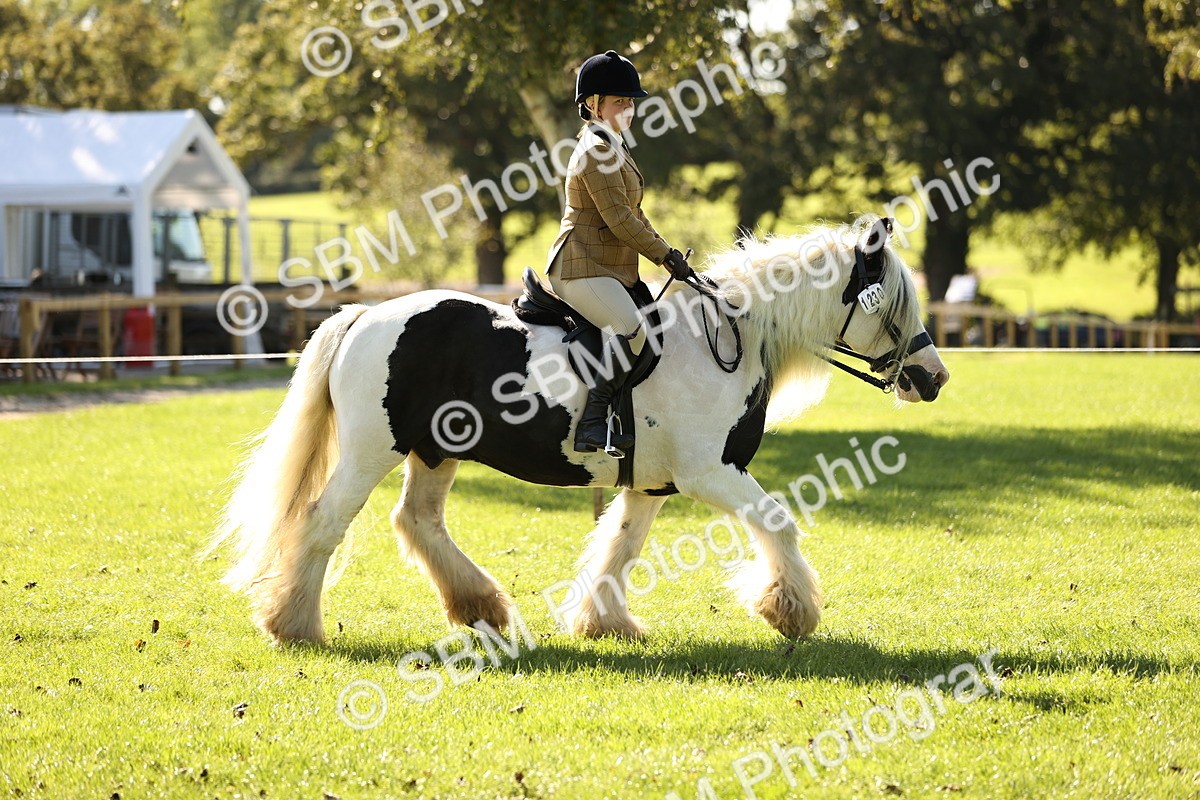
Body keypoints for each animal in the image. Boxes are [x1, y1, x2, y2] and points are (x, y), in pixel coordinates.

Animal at [212, 215, 949, 644]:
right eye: (892, 305)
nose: (934, 377)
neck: (723, 338)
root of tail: (364, 314)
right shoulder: (711, 473)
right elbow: (779, 524)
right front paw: (789, 611)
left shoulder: (652, 484)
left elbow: (619, 547)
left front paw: (605, 622)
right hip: (373, 450)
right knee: (324, 521)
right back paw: (293, 625)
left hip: (436, 451)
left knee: (417, 520)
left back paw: (481, 608)